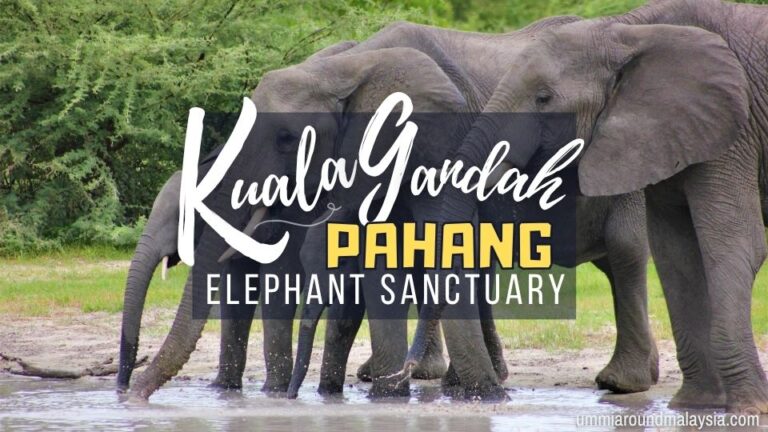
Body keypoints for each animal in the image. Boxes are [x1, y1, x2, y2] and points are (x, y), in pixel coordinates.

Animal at [431, 0, 768, 413]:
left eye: (543, 98)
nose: (492, 395)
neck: (625, 31)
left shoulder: (732, 129)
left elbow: (732, 246)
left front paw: (747, 408)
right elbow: (676, 255)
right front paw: (694, 406)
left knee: (625, 248)